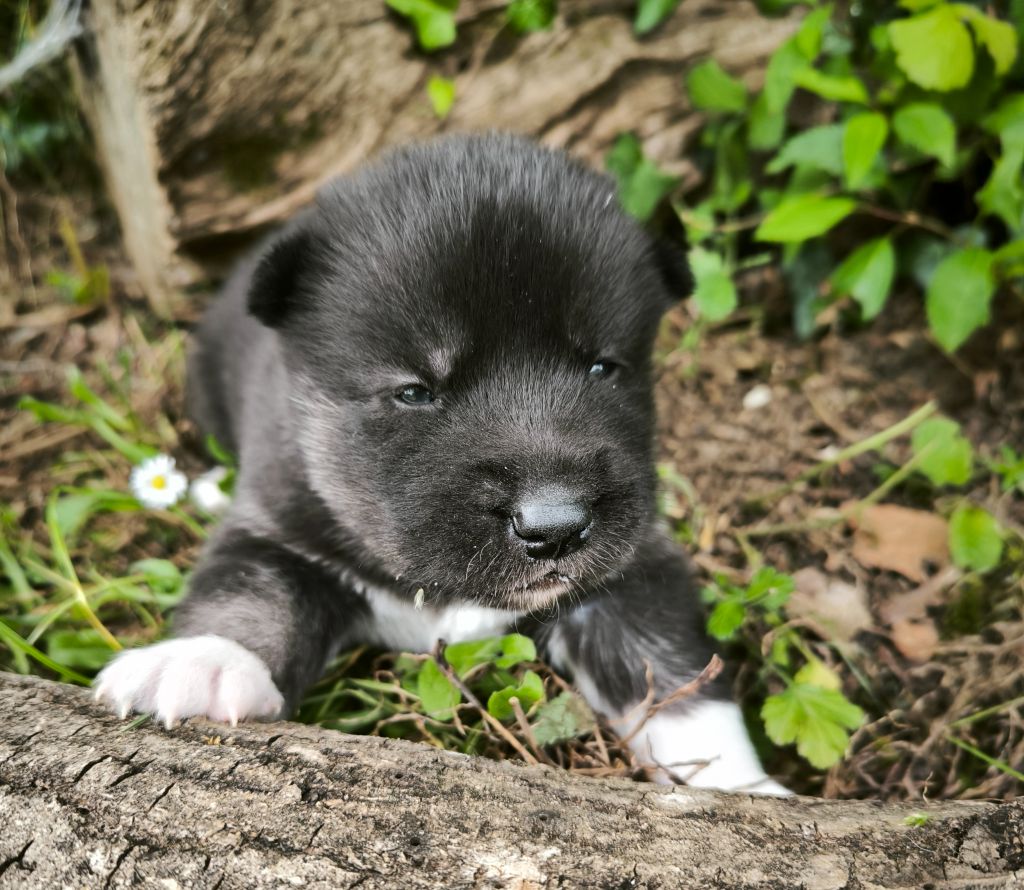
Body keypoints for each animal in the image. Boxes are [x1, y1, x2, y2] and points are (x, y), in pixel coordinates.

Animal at [95, 133, 787, 795]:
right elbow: (248, 593)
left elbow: (675, 676)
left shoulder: (636, 567)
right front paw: (202, 662)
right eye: (414, 391)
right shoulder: (279, 528)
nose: (555, 526)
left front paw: (744, 788)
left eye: (603, 367)